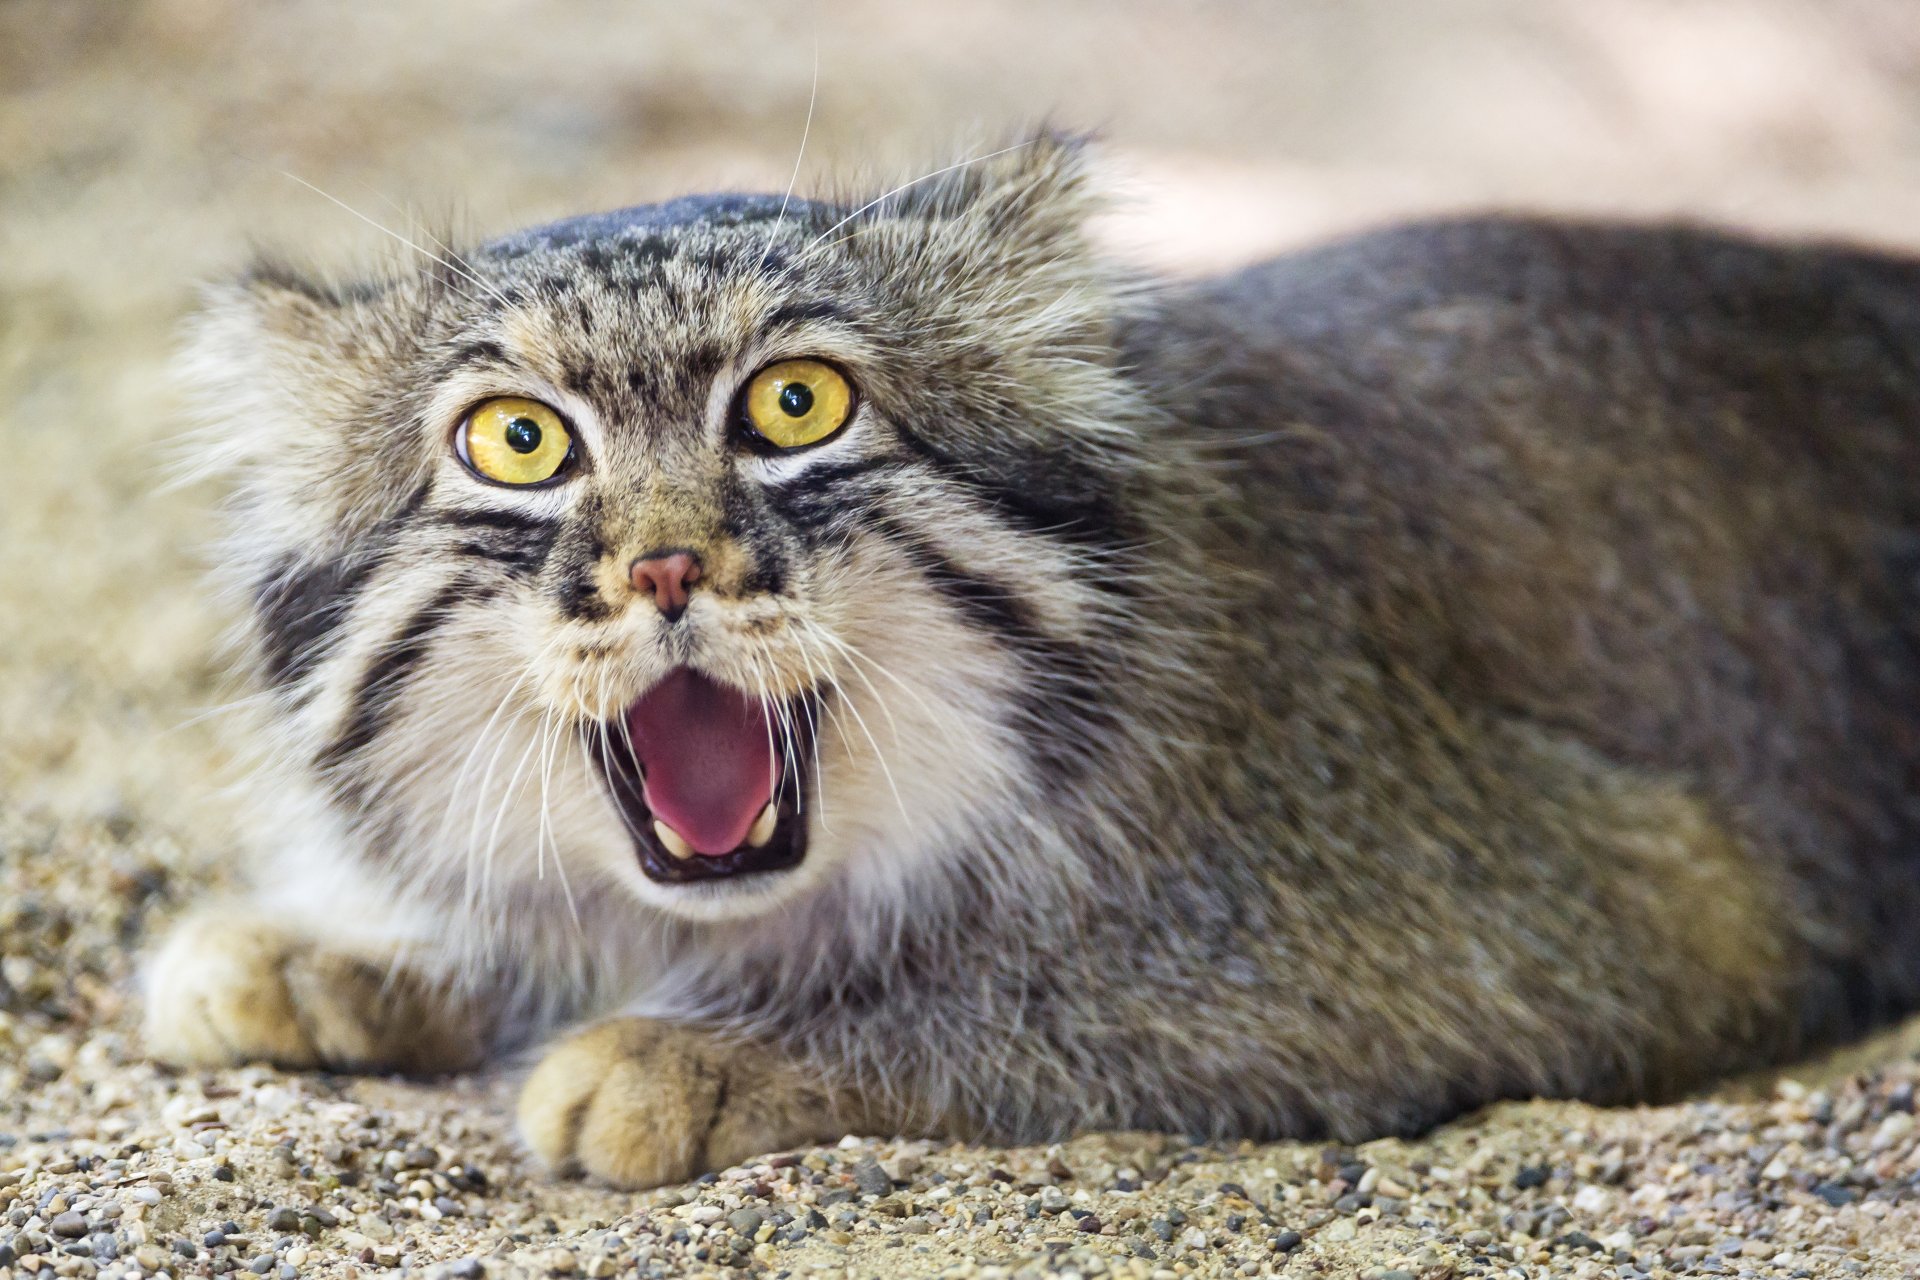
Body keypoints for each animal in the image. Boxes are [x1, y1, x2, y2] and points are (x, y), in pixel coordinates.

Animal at [145, 135, 1920, 1189]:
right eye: (516, 442)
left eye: (795, 404)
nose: (665, 565)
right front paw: (336, 947)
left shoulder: (1601, 901)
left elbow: (1059, 994)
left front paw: (695, 1049)